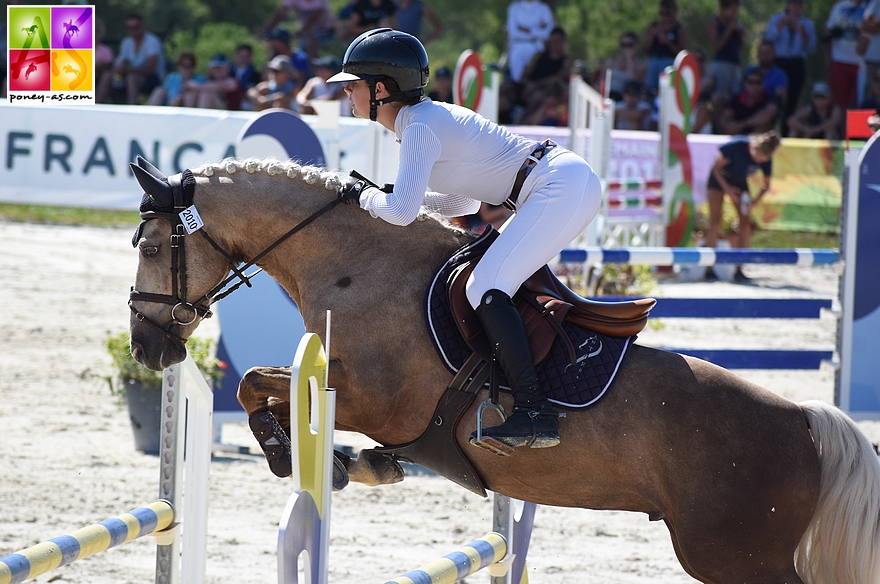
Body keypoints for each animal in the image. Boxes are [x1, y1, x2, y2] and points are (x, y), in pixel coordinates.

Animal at [125, 156, 880, 584]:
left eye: (155, 246)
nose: (145, 347)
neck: (357, 262)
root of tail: (808, 422)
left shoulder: (374, 396)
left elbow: (256, 382)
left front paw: (298, 456)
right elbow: (266, 386)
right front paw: (360, 464)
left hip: (734, 557)